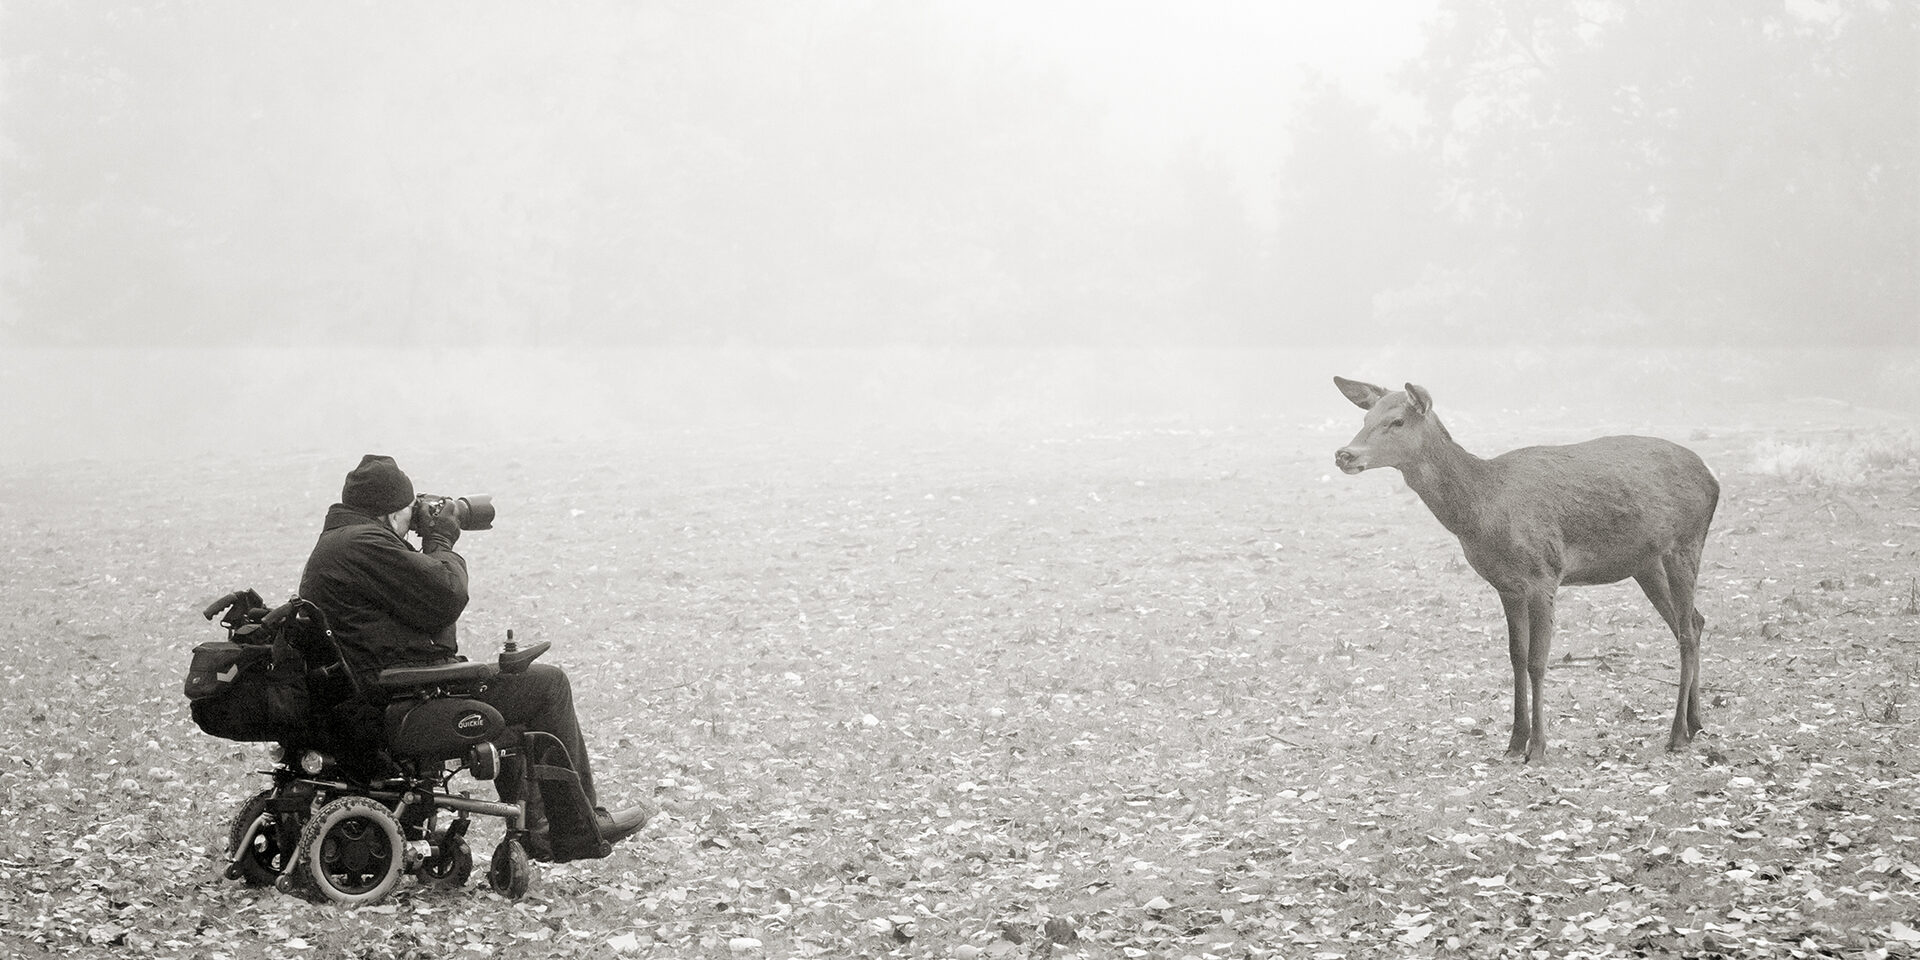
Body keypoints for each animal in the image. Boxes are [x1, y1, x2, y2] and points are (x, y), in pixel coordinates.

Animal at [1331, 376, 1719, 762]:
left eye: (1396, 421)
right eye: (1365, 419)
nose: (1344, 454)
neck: (1482, 509)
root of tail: (1712, 479)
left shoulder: (1544, 573)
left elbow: (1537, 661)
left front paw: (1539, 746)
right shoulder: (1507, 586)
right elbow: (1516, 658)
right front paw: (1515, 741)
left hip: (1686, 540)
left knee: (1686, 631)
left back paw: (1678, 734)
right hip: (1646, 562)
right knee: (1694, 621)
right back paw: (1696, 722)